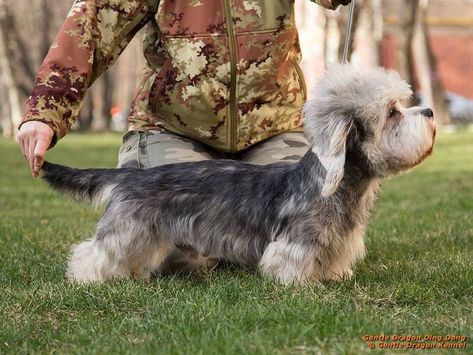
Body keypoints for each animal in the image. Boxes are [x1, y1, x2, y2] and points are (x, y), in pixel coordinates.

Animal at [40, 65, 436, 286]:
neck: (338, 187)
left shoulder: (337, 241)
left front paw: (331, 278)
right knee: (91, 252)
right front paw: (300, 287)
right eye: (392, 113)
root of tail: (130, 178)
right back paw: (84, 280)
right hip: (126, 229)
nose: (430, 111)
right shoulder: (296, 242)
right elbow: (289, 264)